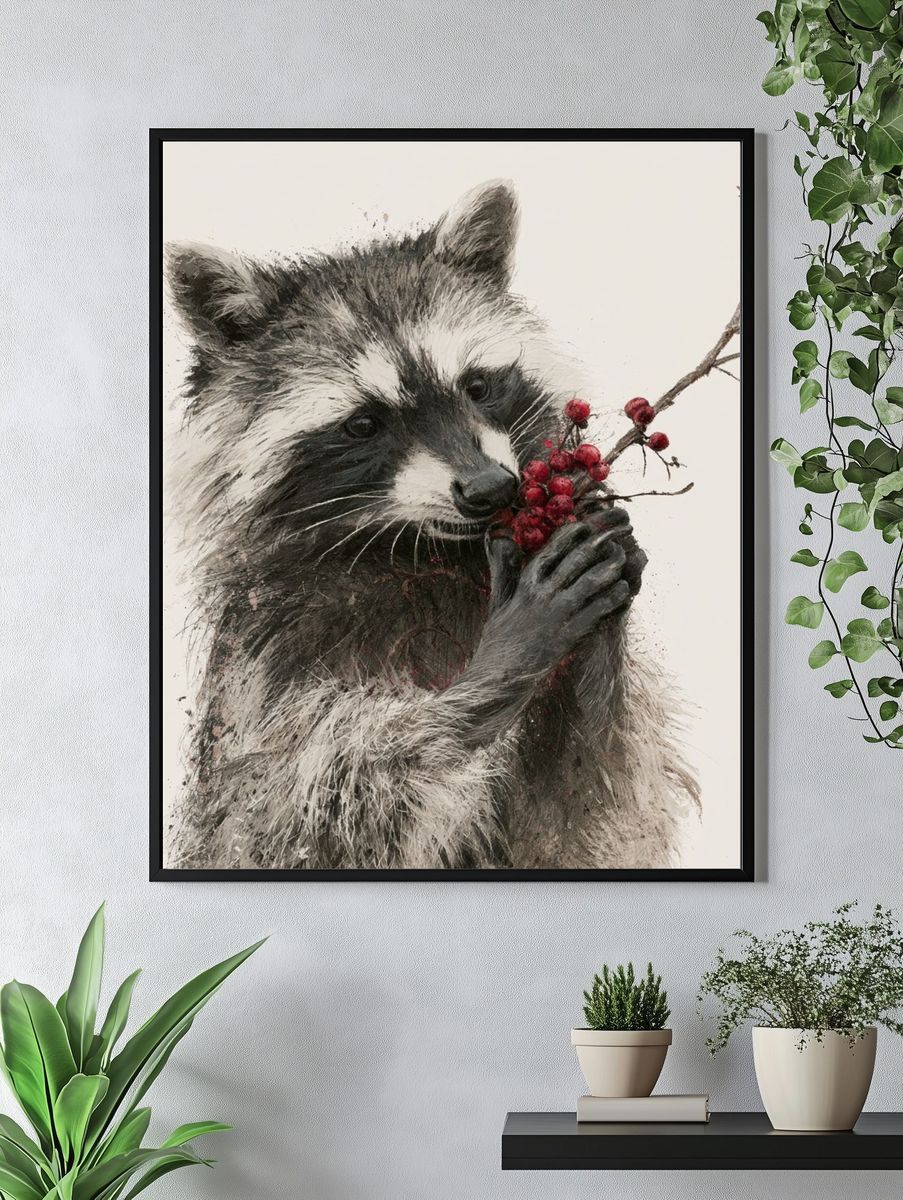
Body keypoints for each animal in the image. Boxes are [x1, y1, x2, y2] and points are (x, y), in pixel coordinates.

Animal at [165, 180, 698, 870]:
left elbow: (587, 815)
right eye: (364, 423)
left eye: (477, 386)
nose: (491, 490)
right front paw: (507, 657)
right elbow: (298, 812)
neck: (421, 557)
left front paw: (600, 623)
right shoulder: (265, 667)